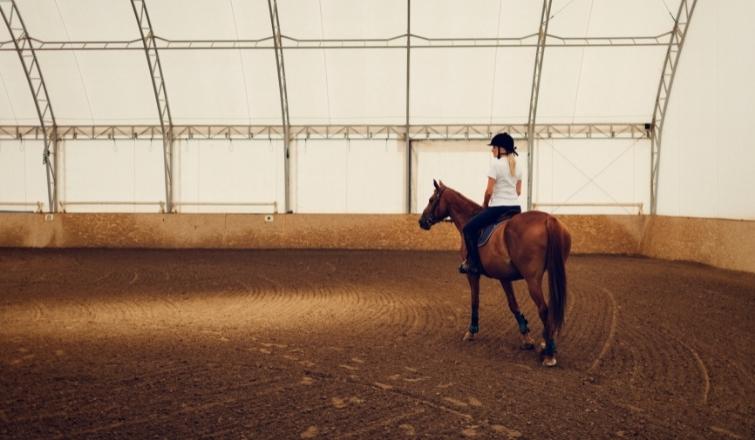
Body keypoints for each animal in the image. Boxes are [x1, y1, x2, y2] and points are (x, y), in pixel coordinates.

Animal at [416, 180, 568, 366]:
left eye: (431, 200)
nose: (422, 221)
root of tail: (548, 219)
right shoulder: (504, 277)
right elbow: (513, 305)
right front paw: (526, 338)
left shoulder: (472, 274)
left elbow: (474, 301)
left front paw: (471, 331)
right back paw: (546, 343)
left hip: (532, 279)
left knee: (544, 309)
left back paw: (549, 354)